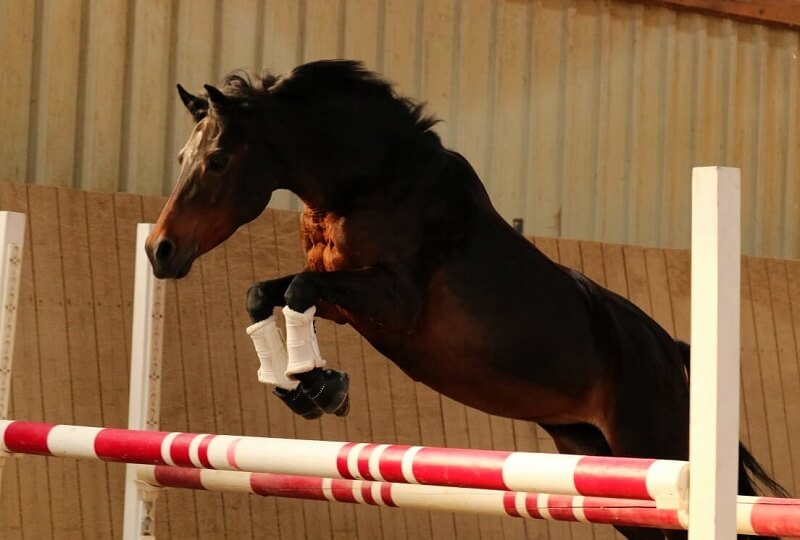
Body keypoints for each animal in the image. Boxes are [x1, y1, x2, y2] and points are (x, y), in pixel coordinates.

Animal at [147, 60, 784, 540]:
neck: (370, 185)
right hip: (605, 465)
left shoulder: (393, 301)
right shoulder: (345, 301)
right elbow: (264, 293)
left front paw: (318, 386)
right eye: (180, 159)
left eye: (218, 160)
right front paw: (302, 385)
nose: (160, 249)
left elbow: (298, 290)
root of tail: (671, 352)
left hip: (654, 449)